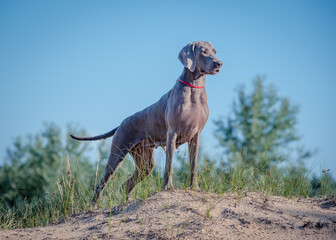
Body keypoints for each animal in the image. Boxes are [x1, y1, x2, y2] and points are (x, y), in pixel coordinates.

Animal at [71, 41, 222, 202]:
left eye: (215, 51)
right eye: (203, 51)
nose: (219, 63)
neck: (194, 88)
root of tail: (120, 124)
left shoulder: (195, 136)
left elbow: (193, 165)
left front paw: (195, 188)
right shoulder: (172, 132)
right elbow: (169, 165)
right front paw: (168, 187)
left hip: (145, 162)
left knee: (126, 184)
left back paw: (128, 201)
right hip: (117, 154)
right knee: (100, 185)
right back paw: (94, 205)